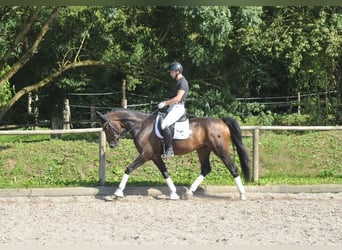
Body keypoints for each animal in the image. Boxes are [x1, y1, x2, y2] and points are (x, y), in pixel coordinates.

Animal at [97, 108, 251, 200]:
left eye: (107, 128)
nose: (113, 145)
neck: (142, 126)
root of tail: (221, 120)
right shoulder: (155, 156)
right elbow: (165, 173)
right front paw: (173, 193)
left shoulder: (146, 155)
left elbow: (129, 168)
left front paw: (117, 193)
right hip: (203, 150)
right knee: (206, 169)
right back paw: (188, 193)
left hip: (220, 150)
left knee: (233, 168)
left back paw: (243, 194)